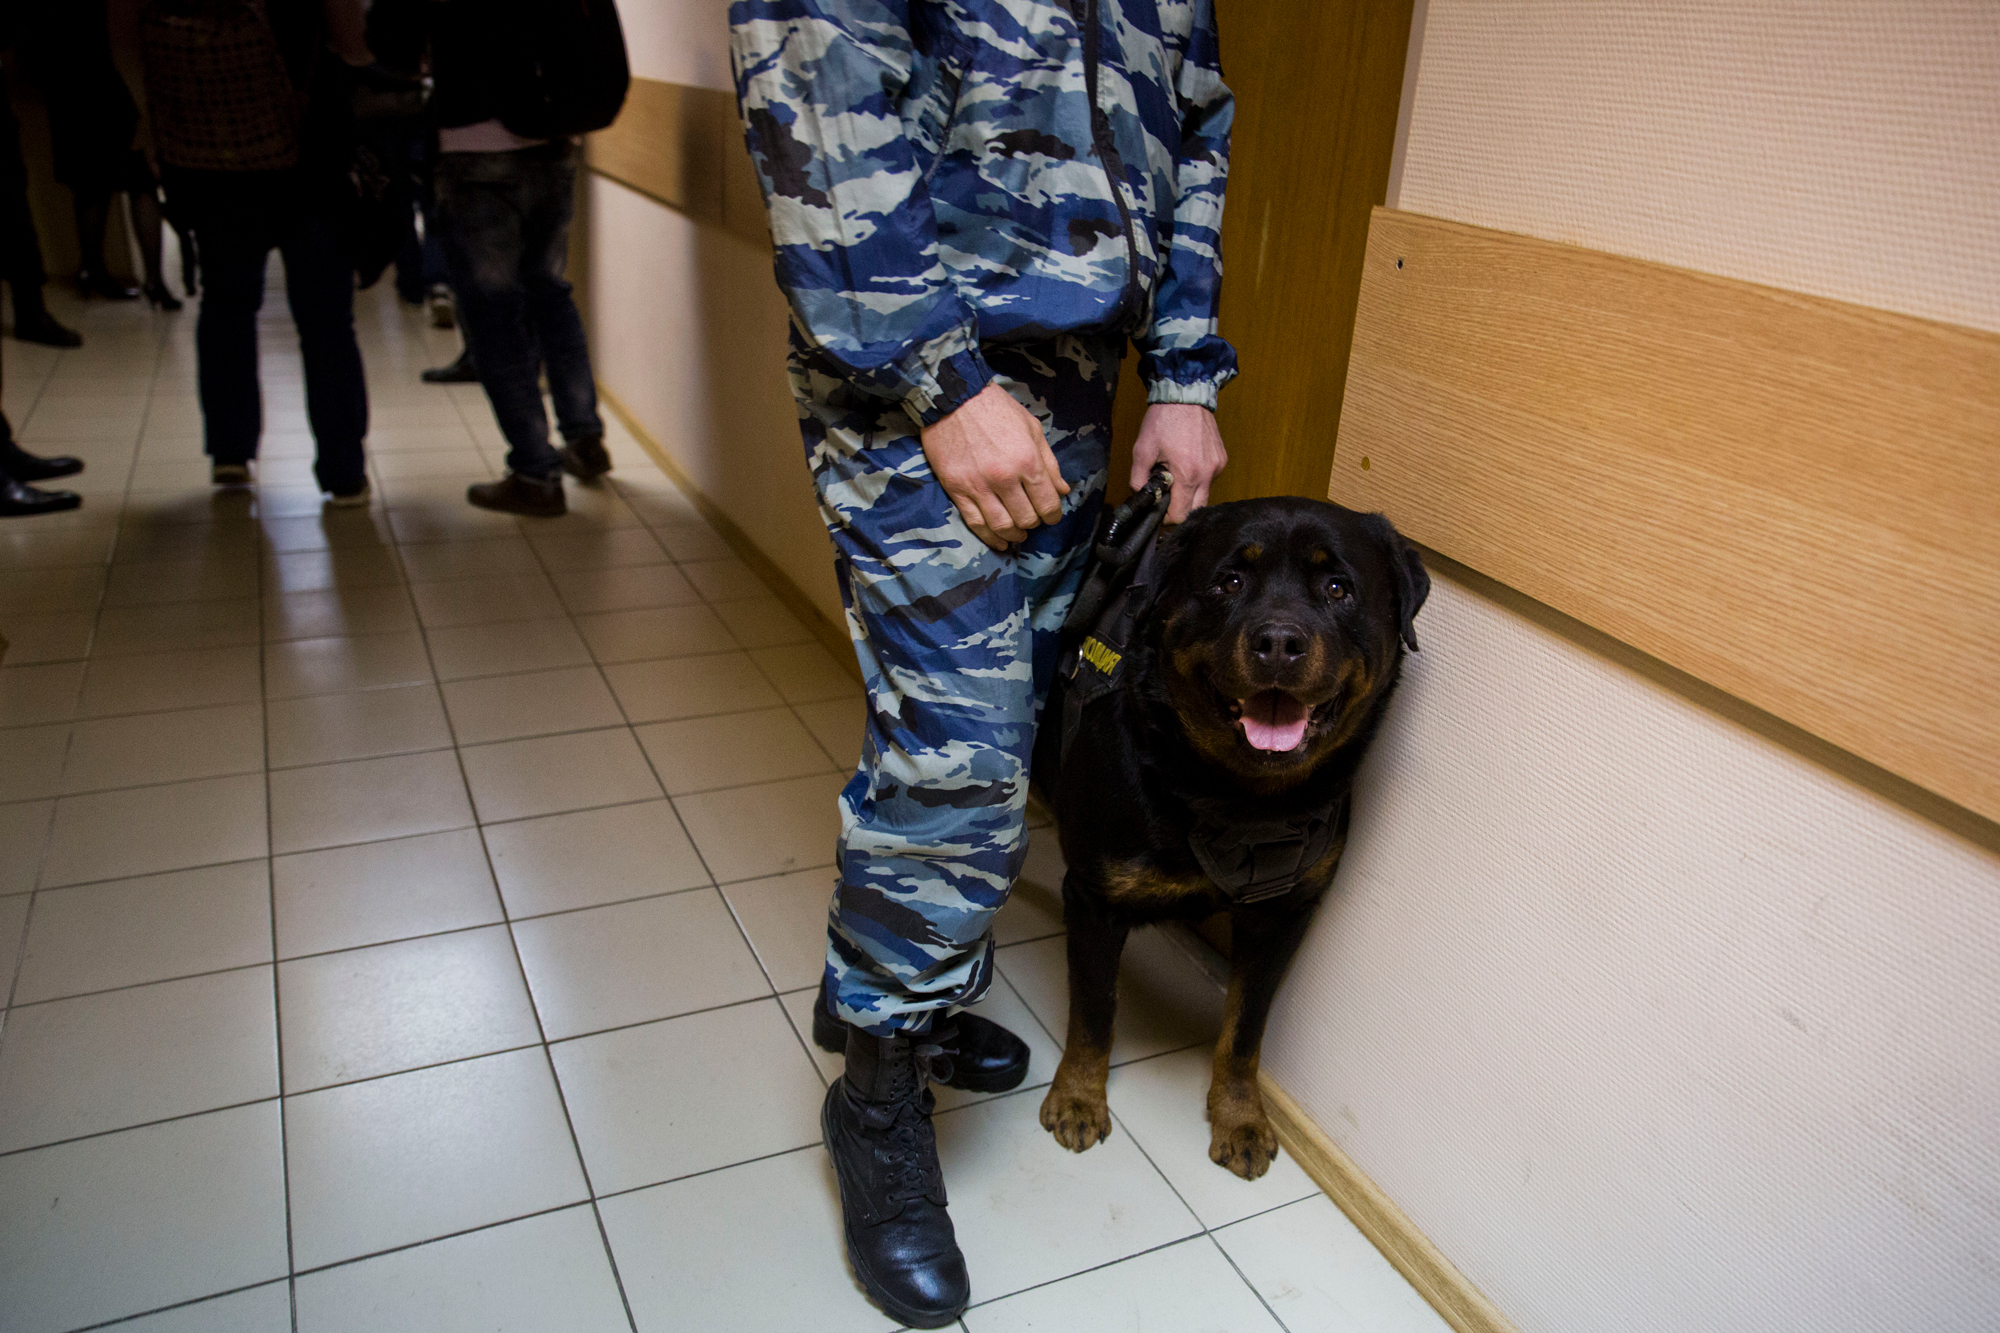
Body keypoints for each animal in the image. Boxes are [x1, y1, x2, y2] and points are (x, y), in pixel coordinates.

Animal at [1032, 496, 1424, 1176]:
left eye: (1338, 588)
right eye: (1229, 582)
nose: (1279, 642)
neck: (1240, 799)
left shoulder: (1283, 914)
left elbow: (1245, 1031)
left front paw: (1240, 1117)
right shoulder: (1094, 899)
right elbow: (1094, 1014)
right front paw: (1079, 1097)